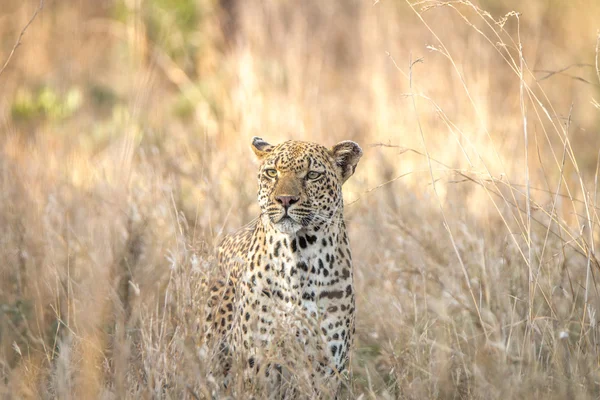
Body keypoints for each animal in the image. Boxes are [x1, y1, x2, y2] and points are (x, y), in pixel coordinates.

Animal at [206, 137, 364, 396]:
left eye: (312, 175)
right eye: (272, 173)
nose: (285, 200)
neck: (298, 255)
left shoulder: (326, 368)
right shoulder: (258, 363)